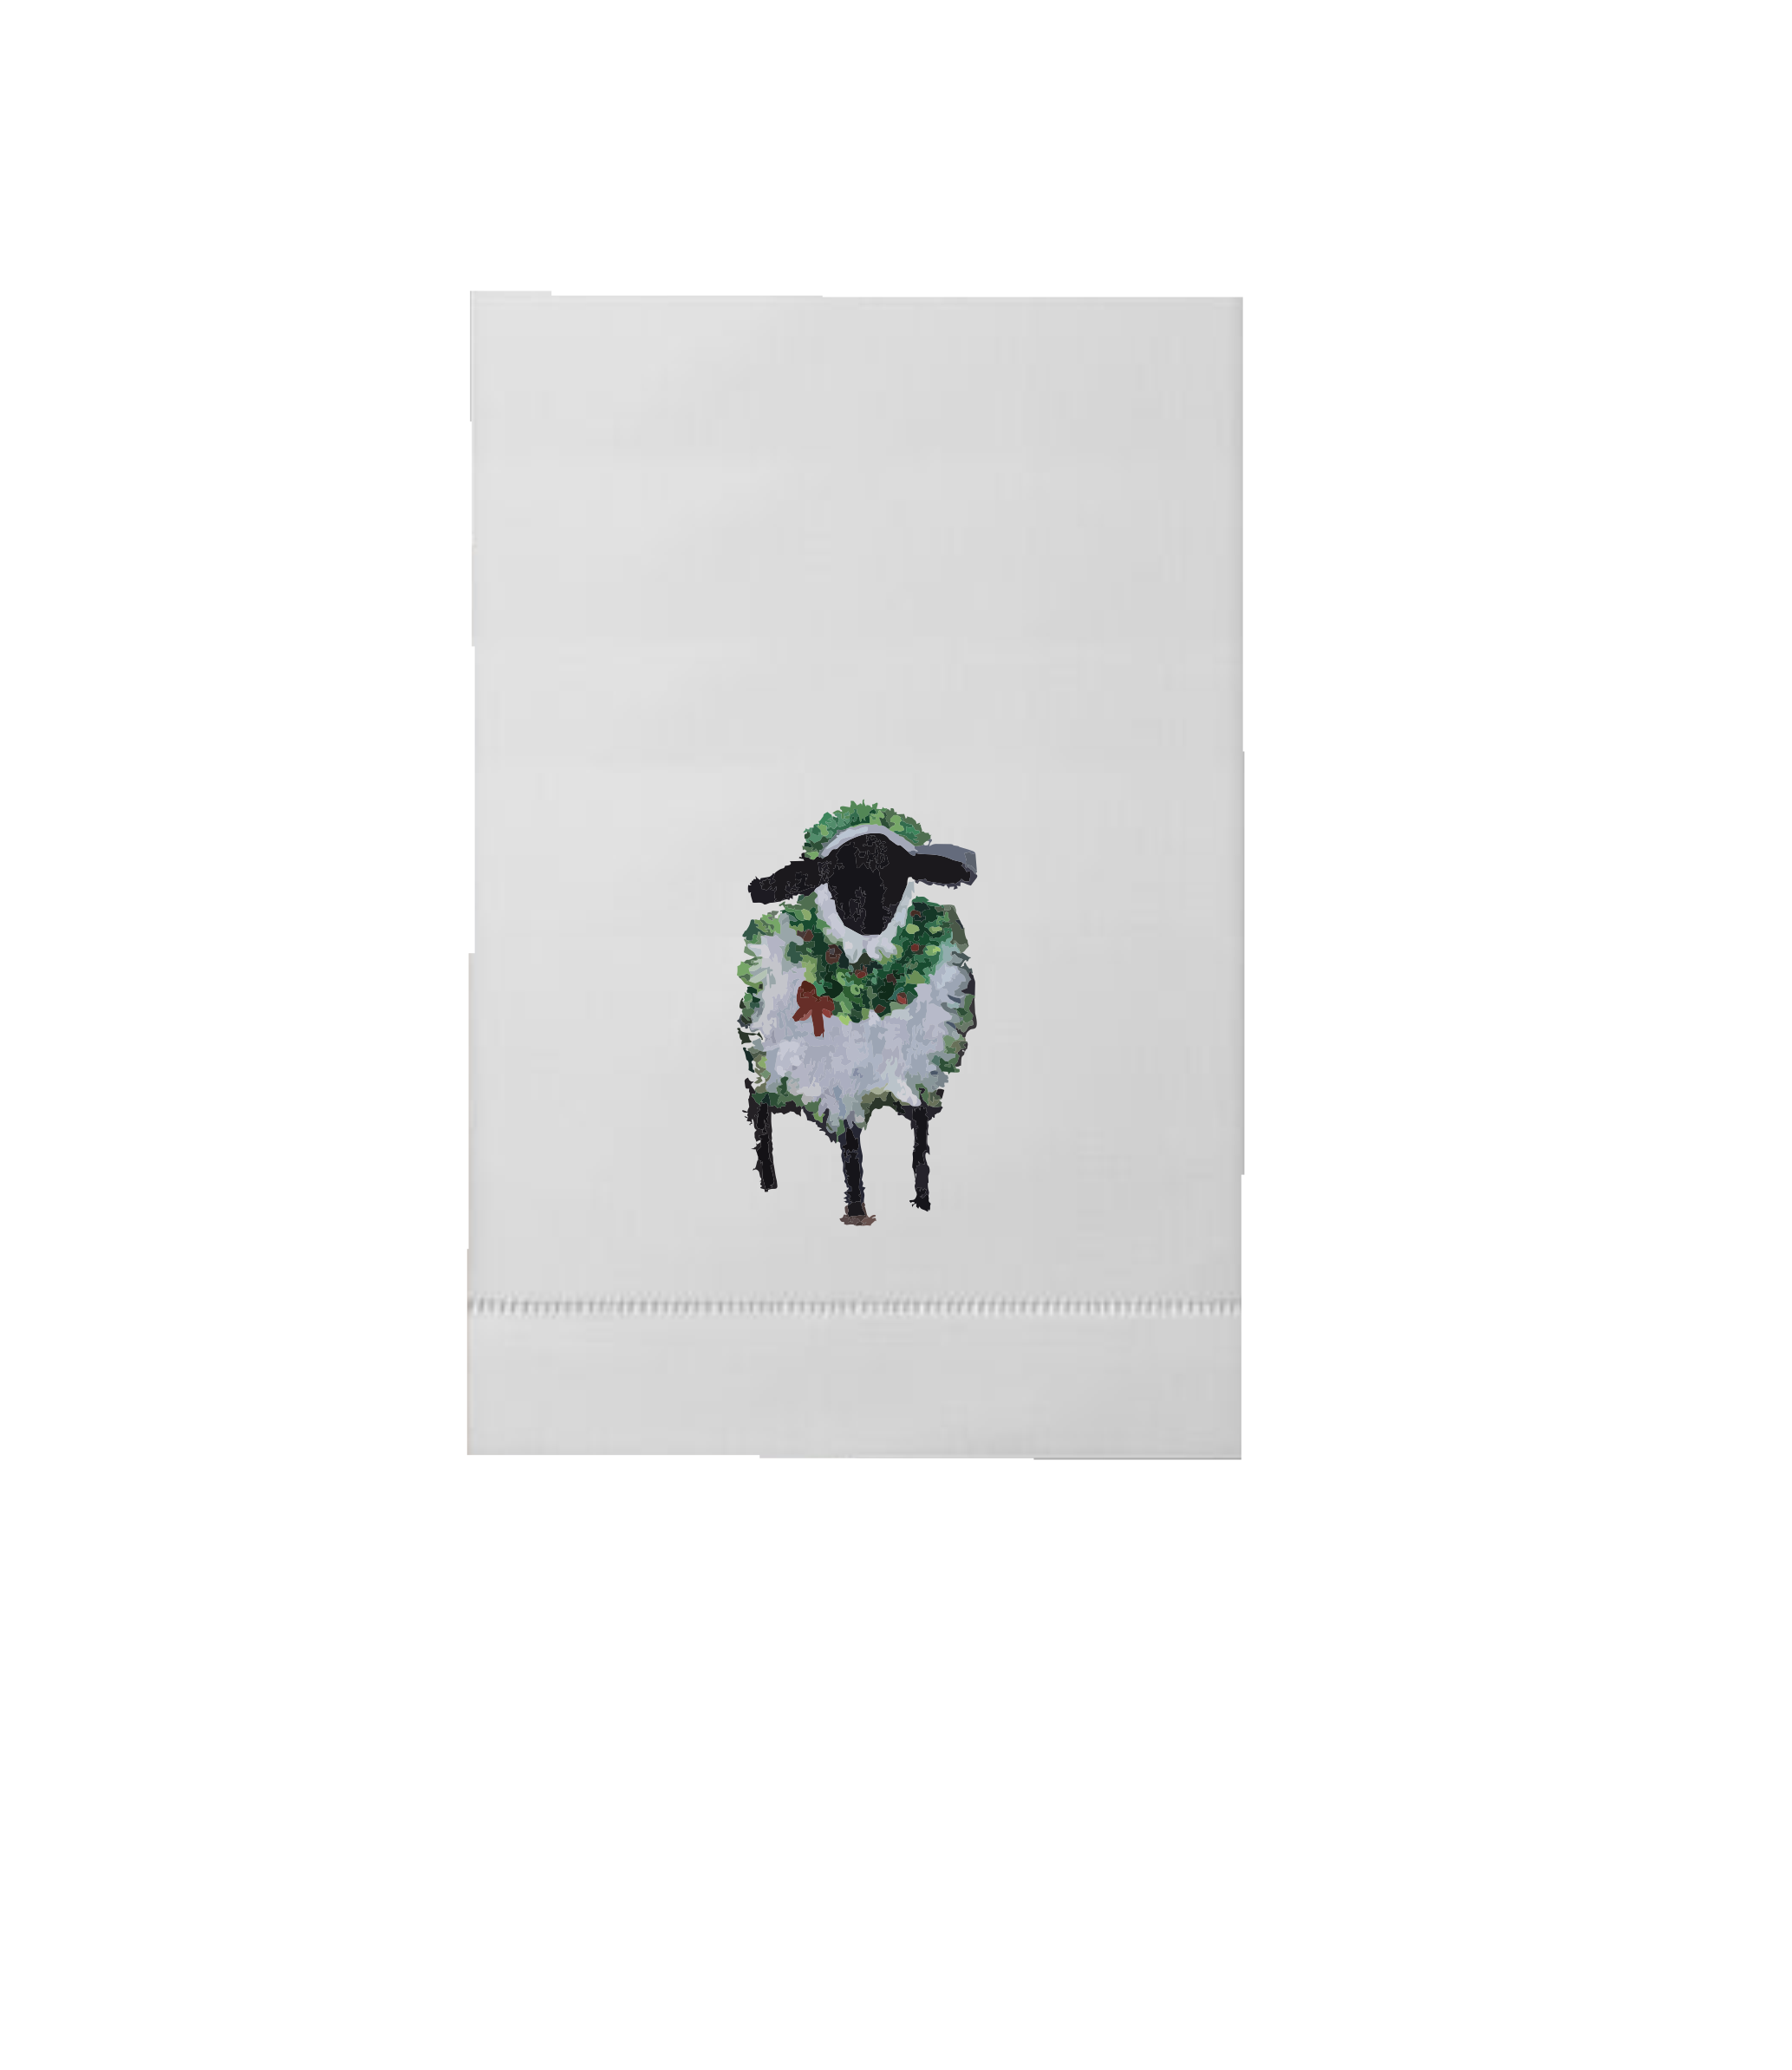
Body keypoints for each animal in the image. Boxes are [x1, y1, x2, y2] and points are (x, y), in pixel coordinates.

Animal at [739, 802, 978, 1224]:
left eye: (901, 869)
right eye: (832, 871)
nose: (868, 917)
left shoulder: (917, 1072)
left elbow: (920, 1143)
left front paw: (923, 1201)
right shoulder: (841, 1083)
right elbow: (852, 1150)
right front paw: (856, 1210)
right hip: (774, 1061)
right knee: (760, 1106)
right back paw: (768, 1181)